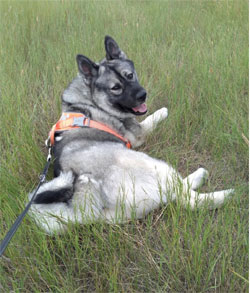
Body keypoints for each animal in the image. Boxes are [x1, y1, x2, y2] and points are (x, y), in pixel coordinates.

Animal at [28, 36, 233, 233]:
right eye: (116, 88)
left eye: (130, 75)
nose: (143, 95)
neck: (90, 100)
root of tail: (84, 197)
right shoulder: (138, 134)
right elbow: (151, 118)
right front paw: (163, 111)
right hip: (155, 166)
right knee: (185, 196)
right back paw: (220, 190)